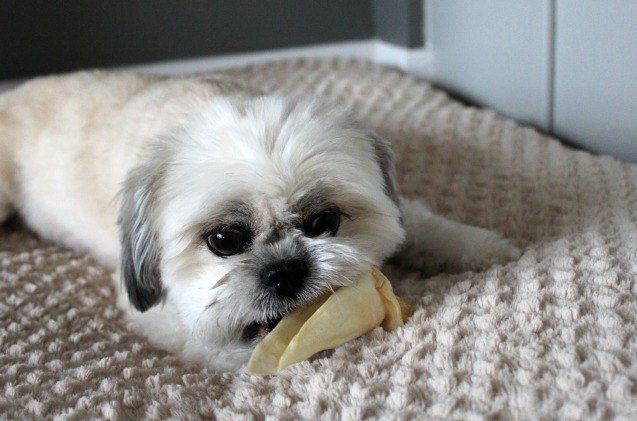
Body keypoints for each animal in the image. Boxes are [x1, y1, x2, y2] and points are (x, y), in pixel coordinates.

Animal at [0, 70, 520, 370]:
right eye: (225, 240)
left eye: (324, 221)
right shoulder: (154, 307)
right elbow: (211, 340)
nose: (285, 270)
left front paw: (481, 247)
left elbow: (424, 224)